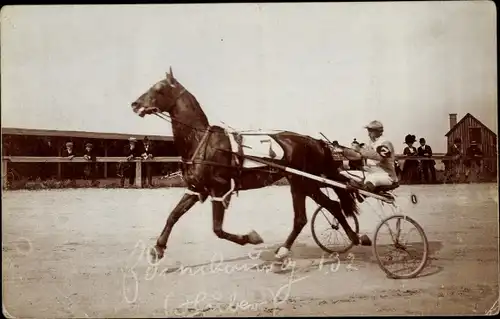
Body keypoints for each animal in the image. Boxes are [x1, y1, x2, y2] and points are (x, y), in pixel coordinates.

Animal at [130, 67, 372, 262]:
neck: (202, 141)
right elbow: (173, 215)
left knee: (302, 218)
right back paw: (357, 237)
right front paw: (158, 248)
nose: (135, 104)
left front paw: (251, 238)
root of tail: (314, 141)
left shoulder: (219, 189)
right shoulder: (196, 188)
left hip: (300, 182)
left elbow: (217, 229)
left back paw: (284, 250)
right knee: (333, 206)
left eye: (159, 88)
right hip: (307, 183)